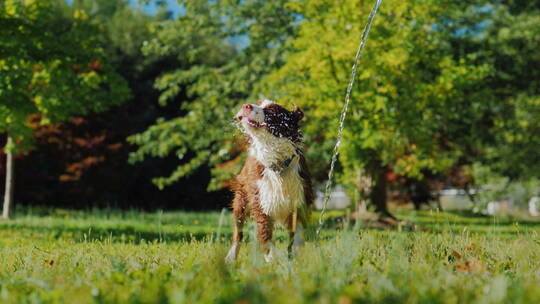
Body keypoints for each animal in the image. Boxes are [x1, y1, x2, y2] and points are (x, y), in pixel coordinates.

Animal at [226, 98, 314, 262]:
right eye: (257, 102)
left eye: (272, 111)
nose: (246, 105)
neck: (278, 163)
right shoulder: (261, 201)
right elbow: (265, 236)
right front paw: (274, 261)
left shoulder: (301, 200)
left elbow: (297, 235)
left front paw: (293, 257)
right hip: (241, 200)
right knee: (238, 231)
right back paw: (231, 257)